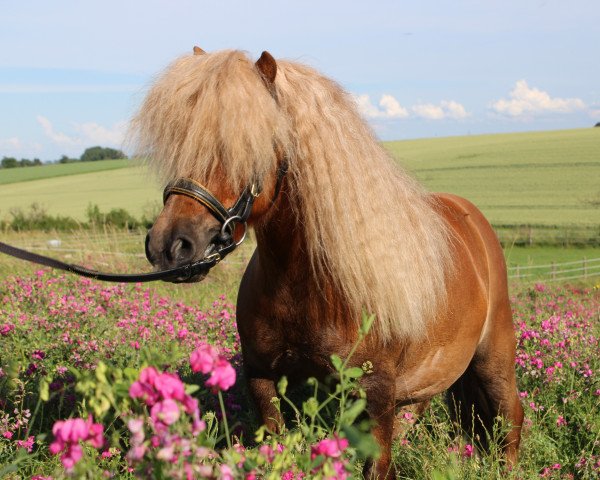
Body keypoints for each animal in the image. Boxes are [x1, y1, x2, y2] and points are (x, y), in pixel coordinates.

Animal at [138, 47, 524, 476]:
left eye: (246, 145)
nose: (170, 246)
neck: (306, 286)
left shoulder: (375, 395)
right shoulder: (263, 379)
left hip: (494, 360)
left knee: (510, 421)